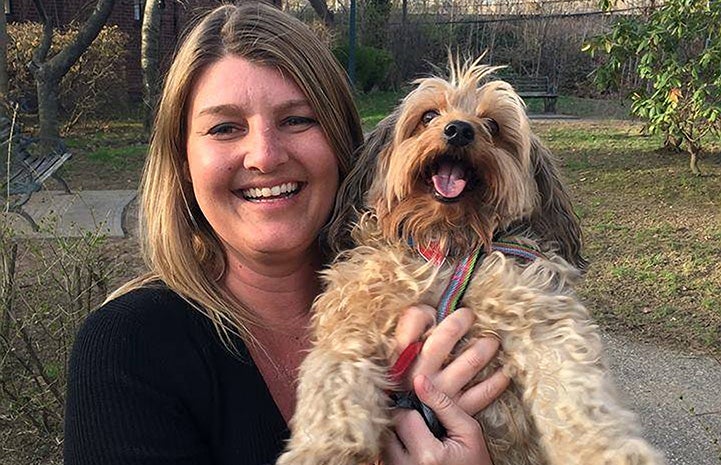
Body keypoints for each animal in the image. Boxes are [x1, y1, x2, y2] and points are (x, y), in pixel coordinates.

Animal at [276, 57, 664, 464]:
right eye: (429, 116)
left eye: (492, 124)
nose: (460, 130)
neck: (446, 247)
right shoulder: (353, 322)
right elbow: (334, 381)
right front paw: (324, 450)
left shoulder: (541, 316)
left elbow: (577, 397)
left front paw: (607, 451)